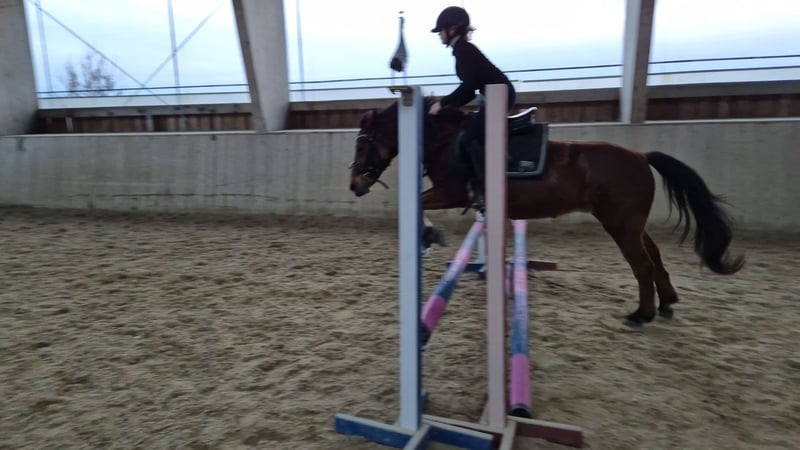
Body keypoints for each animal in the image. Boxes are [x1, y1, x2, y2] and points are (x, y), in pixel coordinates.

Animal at [348, 100, 744, 326]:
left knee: (643, 264)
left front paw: (428, 235)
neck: (446, 141)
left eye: (363, 144)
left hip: (620, 225)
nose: (355, 185)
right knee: (655, 255)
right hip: (631, 224)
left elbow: (416, 200)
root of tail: (640, 156)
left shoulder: (451, 192)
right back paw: (666, 303)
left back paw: (641, 315)